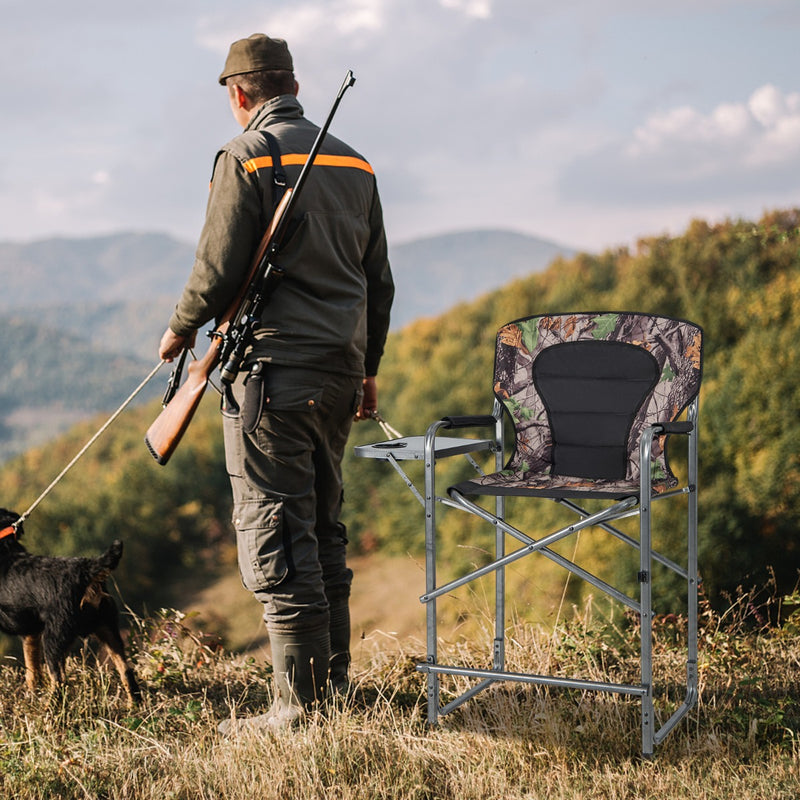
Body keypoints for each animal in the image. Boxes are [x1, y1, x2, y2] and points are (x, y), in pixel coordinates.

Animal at [0, 510, 139, 704]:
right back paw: (134, 707)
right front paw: (32, 692)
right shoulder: (31, 632)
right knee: (127, 672)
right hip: (108, 629)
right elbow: (32, 668)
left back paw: (49, 709)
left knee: (59, 682)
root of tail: (85, 570)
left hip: (53, 640)